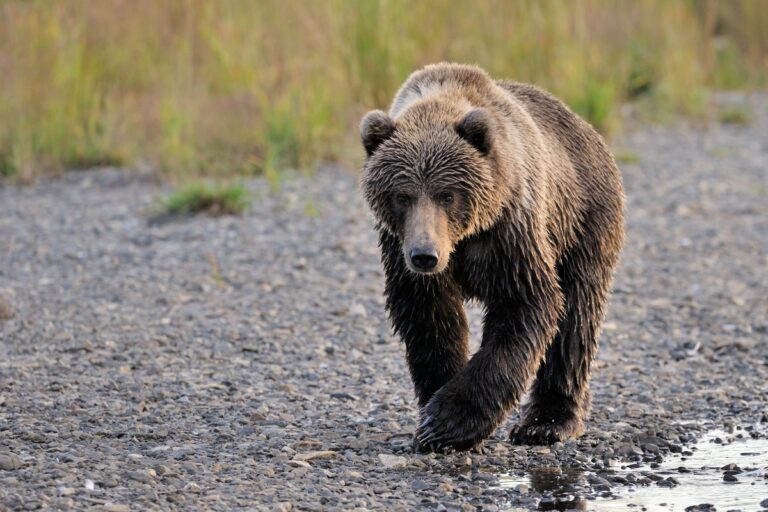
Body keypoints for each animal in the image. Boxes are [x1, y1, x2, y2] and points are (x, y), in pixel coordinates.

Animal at [360, 63, 624, 452]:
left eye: (447, 195)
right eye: (402, 195)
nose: (425, 255)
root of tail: (587, 127)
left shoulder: (508, 232)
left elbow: (524, 305)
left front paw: (448, 423)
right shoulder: (400, 251)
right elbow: (430, 320)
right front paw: (434, 410)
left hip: (582, 221)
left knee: (576, 317)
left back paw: (548, 422)